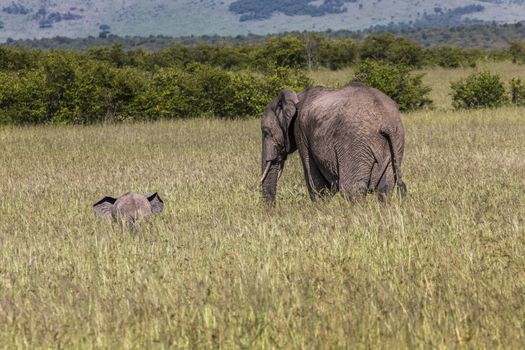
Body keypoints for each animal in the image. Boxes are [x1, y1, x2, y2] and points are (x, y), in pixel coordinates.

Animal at [260, 83, 408, 204]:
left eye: (266, 132)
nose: (272, 210)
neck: (296, 96)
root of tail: (386, 121)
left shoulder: (300, 131)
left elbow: (314, 181)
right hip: (397, 139)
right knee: (385, 188)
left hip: (355, 143)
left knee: (351, 189)